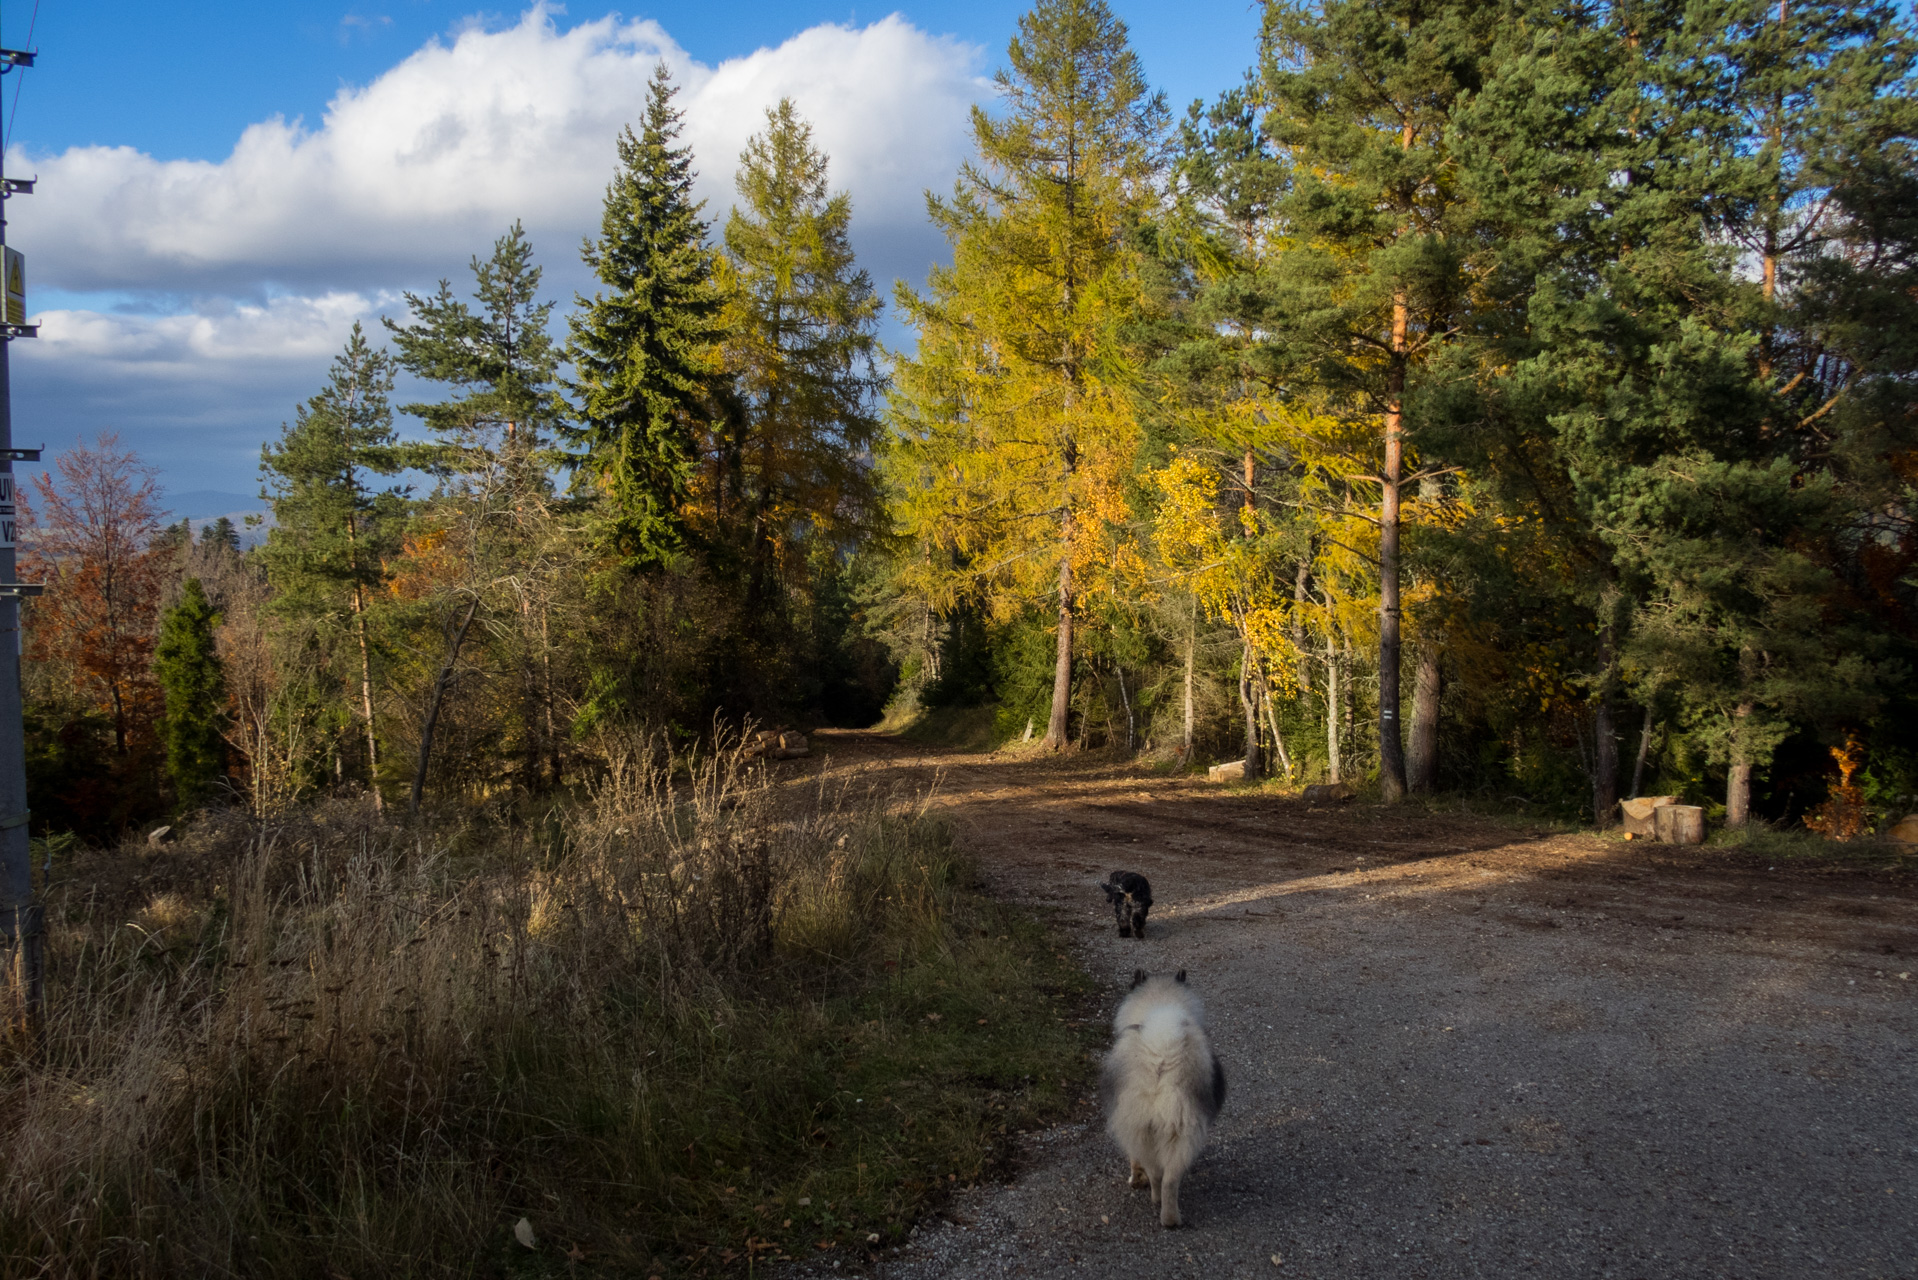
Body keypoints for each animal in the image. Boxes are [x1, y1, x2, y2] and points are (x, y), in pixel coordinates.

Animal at [1097, 967, 1227, 1228]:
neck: (1160, 1000)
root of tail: (1162, 1053)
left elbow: (1134, 1160)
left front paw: (1135, 1179)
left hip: (1149, 1130)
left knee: (1159, 1174)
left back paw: (1160, 1206)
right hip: (1177, 1130)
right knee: (1168, 1178)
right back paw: (1169, 1217)